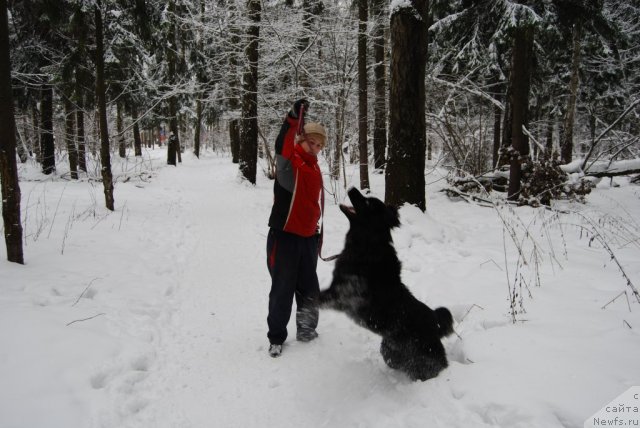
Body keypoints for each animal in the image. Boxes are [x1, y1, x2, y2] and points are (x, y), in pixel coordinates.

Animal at [318, 187, 452, 382]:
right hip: (389, 350)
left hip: (423, 361)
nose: (352, 188)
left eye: (367, 202)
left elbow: (314, 296)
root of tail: (435, 322)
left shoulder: (343, 295)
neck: (366, 245)